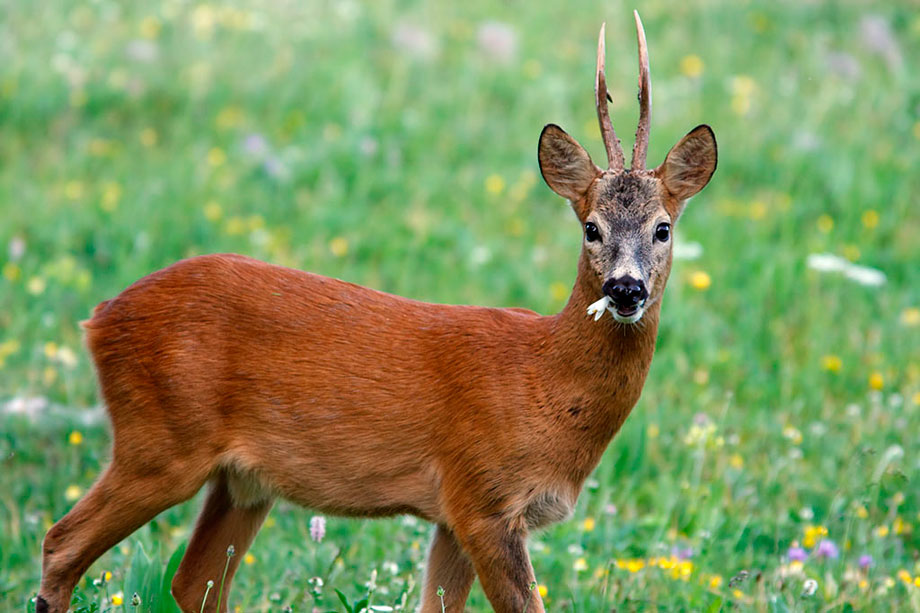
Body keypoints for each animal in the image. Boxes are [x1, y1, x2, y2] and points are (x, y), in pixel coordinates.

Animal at [37, 13, 720, 612]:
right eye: (591, 227)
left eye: (662, 228)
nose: (626, 289)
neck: (543, 381)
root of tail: (100, 317)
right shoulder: (483, 498)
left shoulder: (453, 515)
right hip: (160, 439)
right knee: (61, 544)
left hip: (240, 480)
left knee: (191, 583)